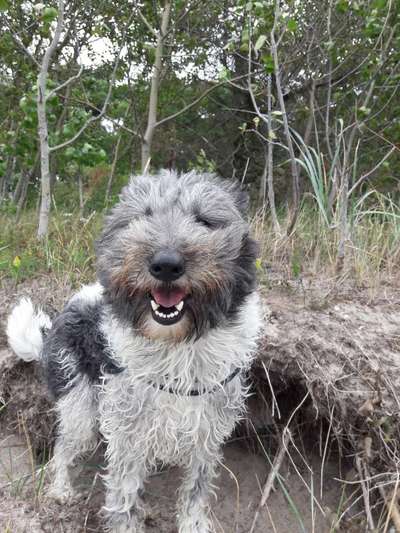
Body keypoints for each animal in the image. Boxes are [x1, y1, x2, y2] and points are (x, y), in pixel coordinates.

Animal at [7, 170, 262, 532]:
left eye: (204, 220)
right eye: (143, 216)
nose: (166, 264)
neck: (176, 347)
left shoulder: (208, 431)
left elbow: (196, 488)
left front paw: (192, 523)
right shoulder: (127, 432)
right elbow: (124, 495)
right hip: (79, 407)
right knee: (62, 447)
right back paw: (60, 491)